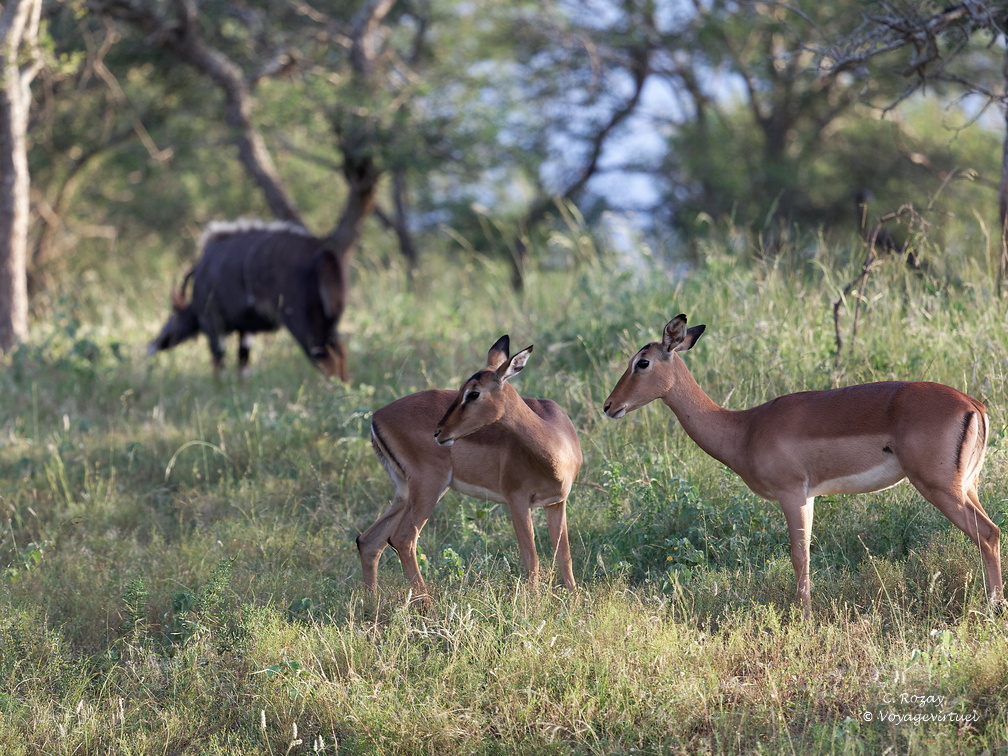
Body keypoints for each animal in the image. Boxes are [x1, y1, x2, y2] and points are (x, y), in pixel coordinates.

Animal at [148, 219, 348, 380]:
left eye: (173, 314)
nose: (153, 344)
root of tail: (324, 255)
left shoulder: (212, 323)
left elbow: (219, 368)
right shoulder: (246, 330)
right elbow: (243, 369)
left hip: (302, 325)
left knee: (327, 359)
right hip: (327, 324)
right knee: (340, 351)